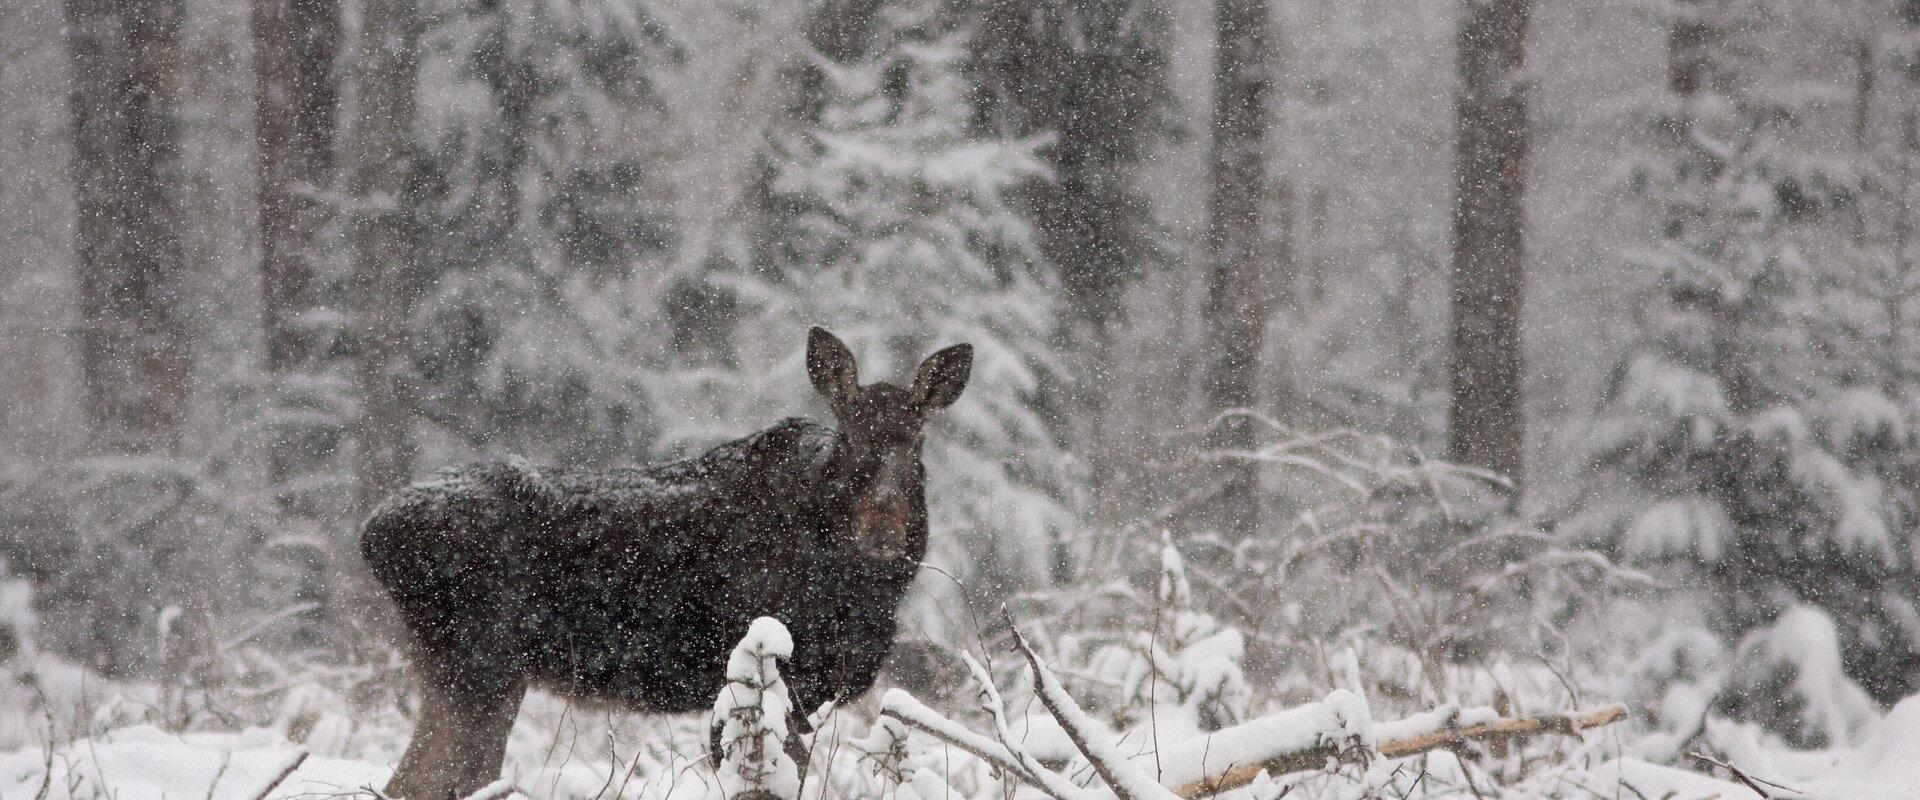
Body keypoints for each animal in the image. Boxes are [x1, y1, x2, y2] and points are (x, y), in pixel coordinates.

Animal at [357, 324, 975, 798]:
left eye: (917, 444)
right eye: (850, 440)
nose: (884, 529)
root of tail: (371, 532)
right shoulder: (760, 677)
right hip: (479, 665)